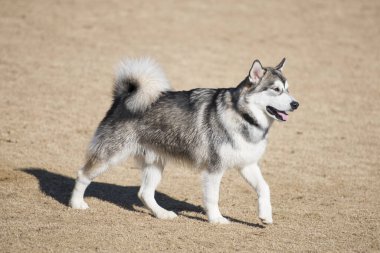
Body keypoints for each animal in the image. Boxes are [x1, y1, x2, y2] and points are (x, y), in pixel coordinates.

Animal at [70, 56, 298, 223]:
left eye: (288, 89)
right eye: (276, 90)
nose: (296, 104)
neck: (242, 116)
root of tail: (123, 96)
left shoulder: (247, 164)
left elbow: (264, 188)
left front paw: (265, 216)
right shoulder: (214, 169)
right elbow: (213, 197)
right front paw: (217, 220)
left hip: (155, 162)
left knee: (145, 193)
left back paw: (162, 214)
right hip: (110, 155)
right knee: (83, 175)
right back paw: (76, 204)